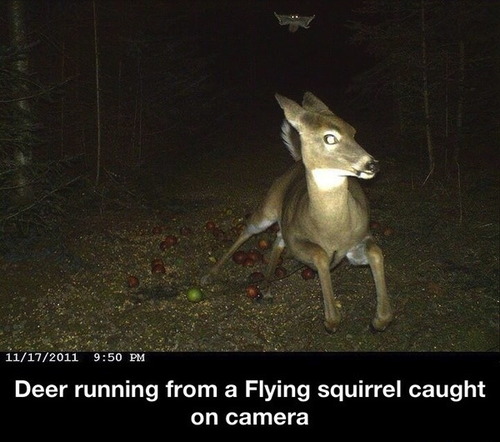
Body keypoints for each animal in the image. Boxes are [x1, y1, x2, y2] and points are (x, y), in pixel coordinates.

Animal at [201, 91, 392, 332]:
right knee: (249, 230)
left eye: (353, 131)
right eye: (329, 138)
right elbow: (320, 255)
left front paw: (379, 320)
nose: (372, 164)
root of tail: (297, 161)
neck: (331, 230)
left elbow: (376, 252)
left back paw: (267, 286)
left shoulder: (359, 239)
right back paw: (209, 276)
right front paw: (331, 319)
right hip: (268, 207)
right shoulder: (298, 242)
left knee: (277, 237)